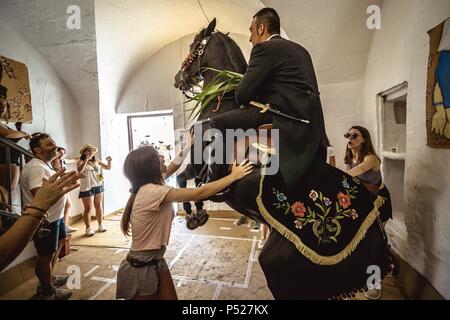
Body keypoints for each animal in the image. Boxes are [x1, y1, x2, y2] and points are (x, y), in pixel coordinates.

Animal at [172, 19, 390, 300]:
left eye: (193, 45)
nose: (178, 79)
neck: (224, 100)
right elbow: (189, 184)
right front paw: (197, 211)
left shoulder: (197, 164)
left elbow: (185, 180)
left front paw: (193, 214)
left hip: (277, 264)